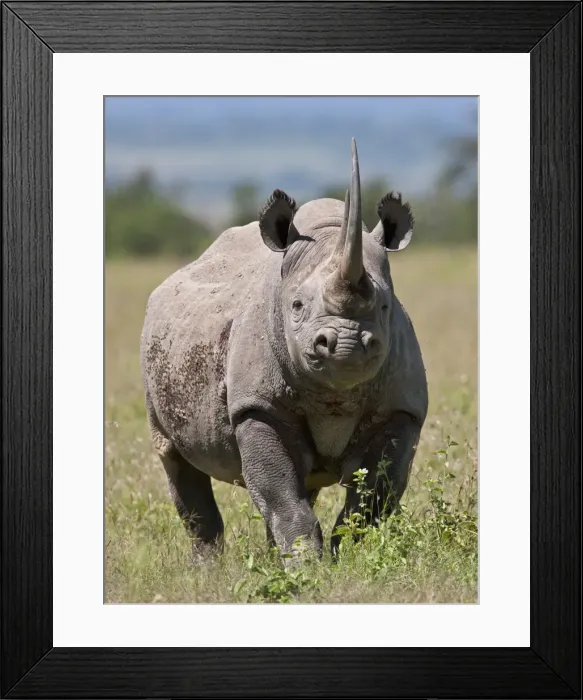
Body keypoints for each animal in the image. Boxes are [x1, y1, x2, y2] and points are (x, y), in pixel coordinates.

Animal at [140, 139, 428, 560]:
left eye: (385, 307)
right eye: (296, 306)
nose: (345, 346)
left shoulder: (401, 409)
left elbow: (372, 499)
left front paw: (346, 559)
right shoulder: (256, 405)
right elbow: (280, 493)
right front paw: (307, 566)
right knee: (175, 459)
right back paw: (208, 567)